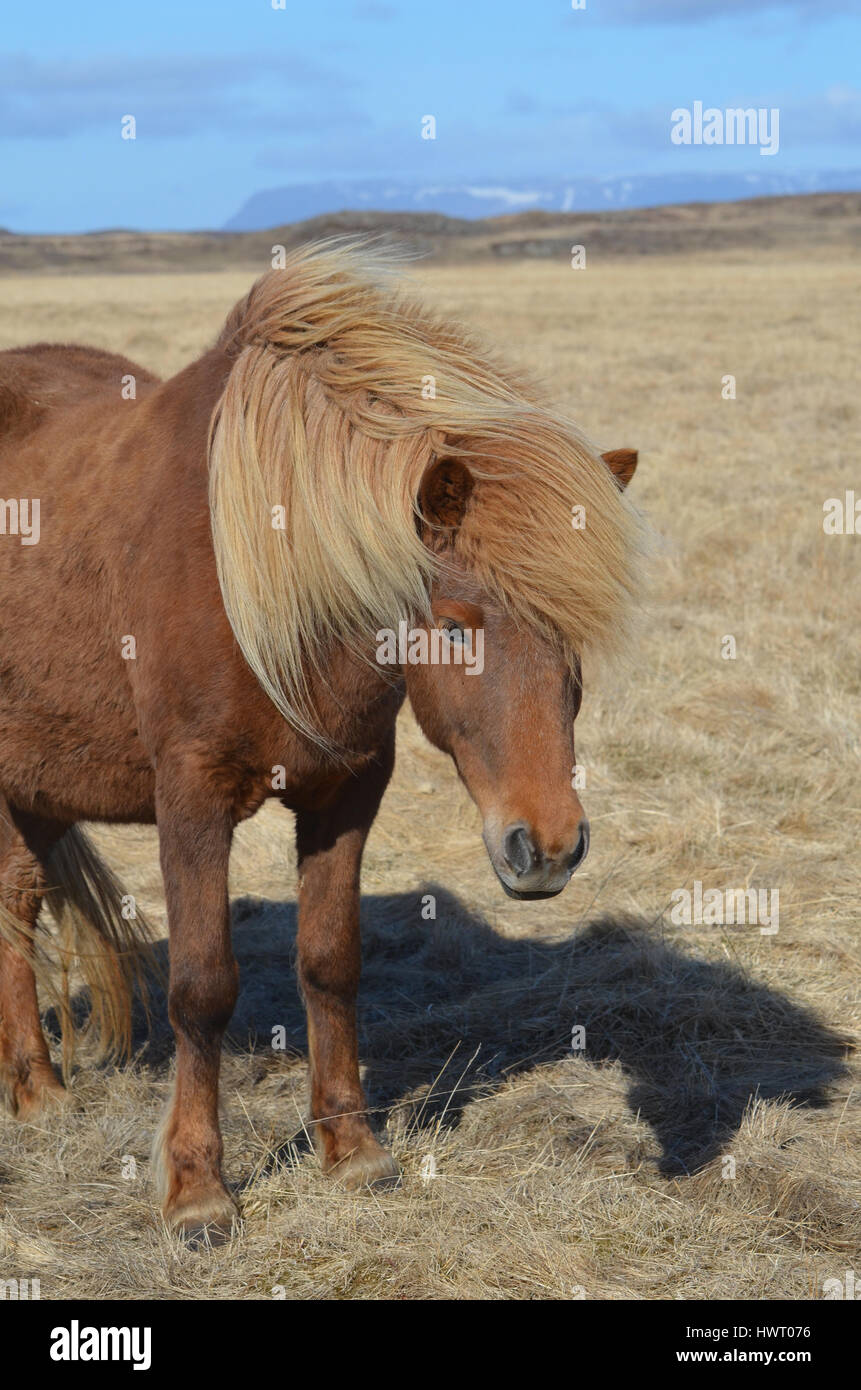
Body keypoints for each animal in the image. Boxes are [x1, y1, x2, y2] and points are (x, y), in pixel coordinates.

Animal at [0, 242, 640, 1240]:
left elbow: (331, 964)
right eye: (453, 626)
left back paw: (36, 1090)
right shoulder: (191, 797)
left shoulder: (346, 793)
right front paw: (197, 1191)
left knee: (17, 904)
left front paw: (351, 1149)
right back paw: (37, 1095)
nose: (546, 848)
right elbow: (202, 986)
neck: (262, 576)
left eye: (573, 635)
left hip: (35, 779)